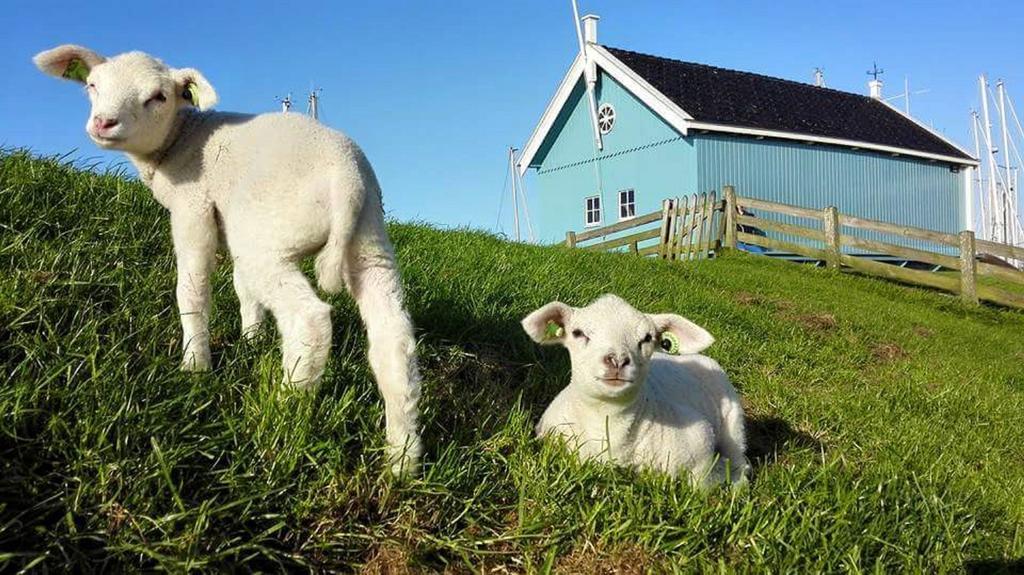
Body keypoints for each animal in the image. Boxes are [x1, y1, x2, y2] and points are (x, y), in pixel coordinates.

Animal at [35, 44, 419, 472]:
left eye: (159, 97)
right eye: (92, 85)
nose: (104, 123)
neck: (180, 140)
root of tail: (347, 180)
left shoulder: (193, 209)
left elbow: (192, 290)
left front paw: (195, 366)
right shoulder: (228, 224)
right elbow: (242, 289)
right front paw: (252, 338)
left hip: (268, 238)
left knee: (310, 319)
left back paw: (283, 416)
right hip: (368, 241)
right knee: (393, 339)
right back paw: (402, 459)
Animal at [524, 292, 749, 484]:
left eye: (647, 338)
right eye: (578, 333)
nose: (617, 360)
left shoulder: (700, 440)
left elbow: (701, 483)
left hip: (733, 419)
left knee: (741, 462)